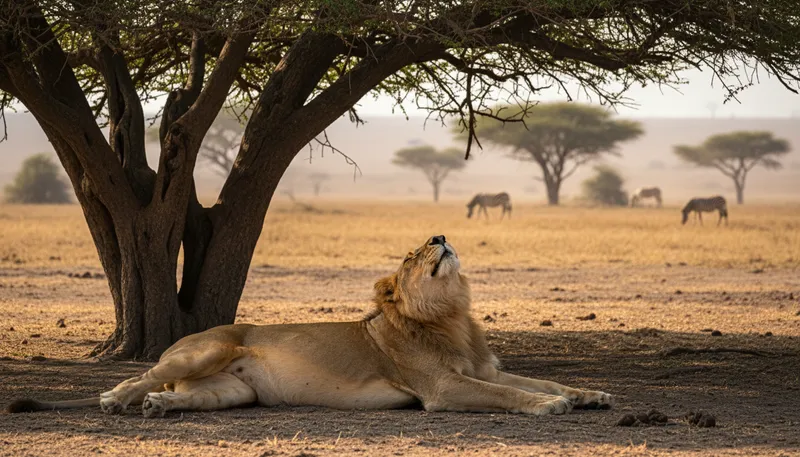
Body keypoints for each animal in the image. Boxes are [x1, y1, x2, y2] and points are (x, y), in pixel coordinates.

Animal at [6, 235, 613, 417]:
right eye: (414, 255)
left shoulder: (481, 369)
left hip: (235, 392)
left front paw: (590, 394)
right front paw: (550, 407)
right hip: (204, 350)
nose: (440, 236)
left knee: (187, 396)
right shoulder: (442, 387)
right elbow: (510, 394)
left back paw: (160, 407)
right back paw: (117, 399)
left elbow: (537, 379)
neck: (450, 315)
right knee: (140, 375)